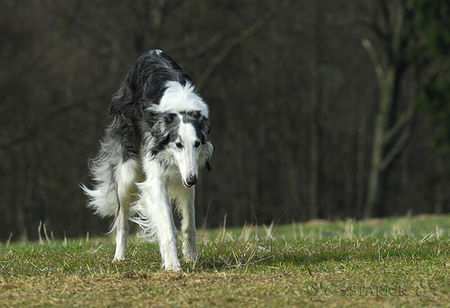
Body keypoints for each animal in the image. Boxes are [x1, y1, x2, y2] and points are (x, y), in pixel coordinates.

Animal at [81, 49, 213, 270]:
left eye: (196, 144)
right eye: (178, 144)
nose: (192, 179)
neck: (180, 109)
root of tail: (151, 52)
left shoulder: (185, 177)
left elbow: (189, 225)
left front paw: (191, 258)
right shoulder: (156, 180)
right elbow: (168, 228)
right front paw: (173, 265)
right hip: (127, 173)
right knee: (122, 222)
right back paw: (119, 257)